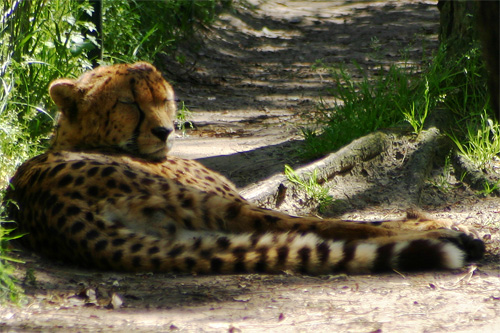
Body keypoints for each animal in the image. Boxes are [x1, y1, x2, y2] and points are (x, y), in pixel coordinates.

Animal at [3, 61, 484, 272]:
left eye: (165, 98)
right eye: (129, 102)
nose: (165, 130)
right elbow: (332, 222)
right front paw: (429, 222)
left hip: (194, 235)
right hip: (216, 207)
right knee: (331, 227)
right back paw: (448, 235)